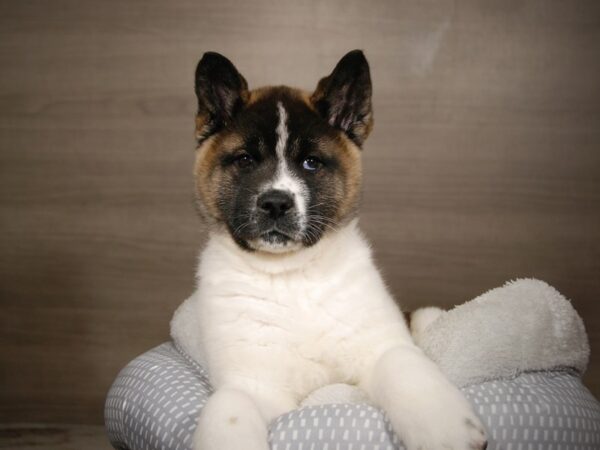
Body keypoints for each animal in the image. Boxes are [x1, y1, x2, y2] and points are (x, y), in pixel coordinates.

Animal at [188, 50, 488, 450]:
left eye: (311, 163)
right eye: (245, 160)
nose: (275, 204)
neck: (291, 277)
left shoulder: (380, 347)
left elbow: (402, 365)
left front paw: (444, 426)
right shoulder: (254, 384)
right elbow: (228, 404)